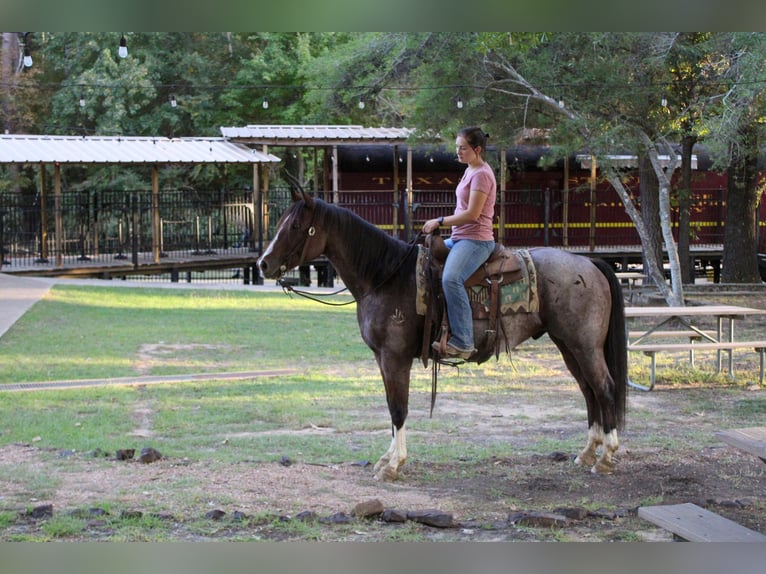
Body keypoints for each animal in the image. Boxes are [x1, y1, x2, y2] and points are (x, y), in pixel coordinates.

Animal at [258, 188, 632, 482]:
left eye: (294, 226)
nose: (263, 264)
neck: (386, 276)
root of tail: (590, 264)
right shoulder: (382, 358)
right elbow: (392, 408)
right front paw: (387, 458)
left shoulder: (395, 357)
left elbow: (398, 408)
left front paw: (394, 465)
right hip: (568, 344)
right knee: (588, 391)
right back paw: (588, 452)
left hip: (584, 344)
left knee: (604, 388)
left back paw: (607, 456)